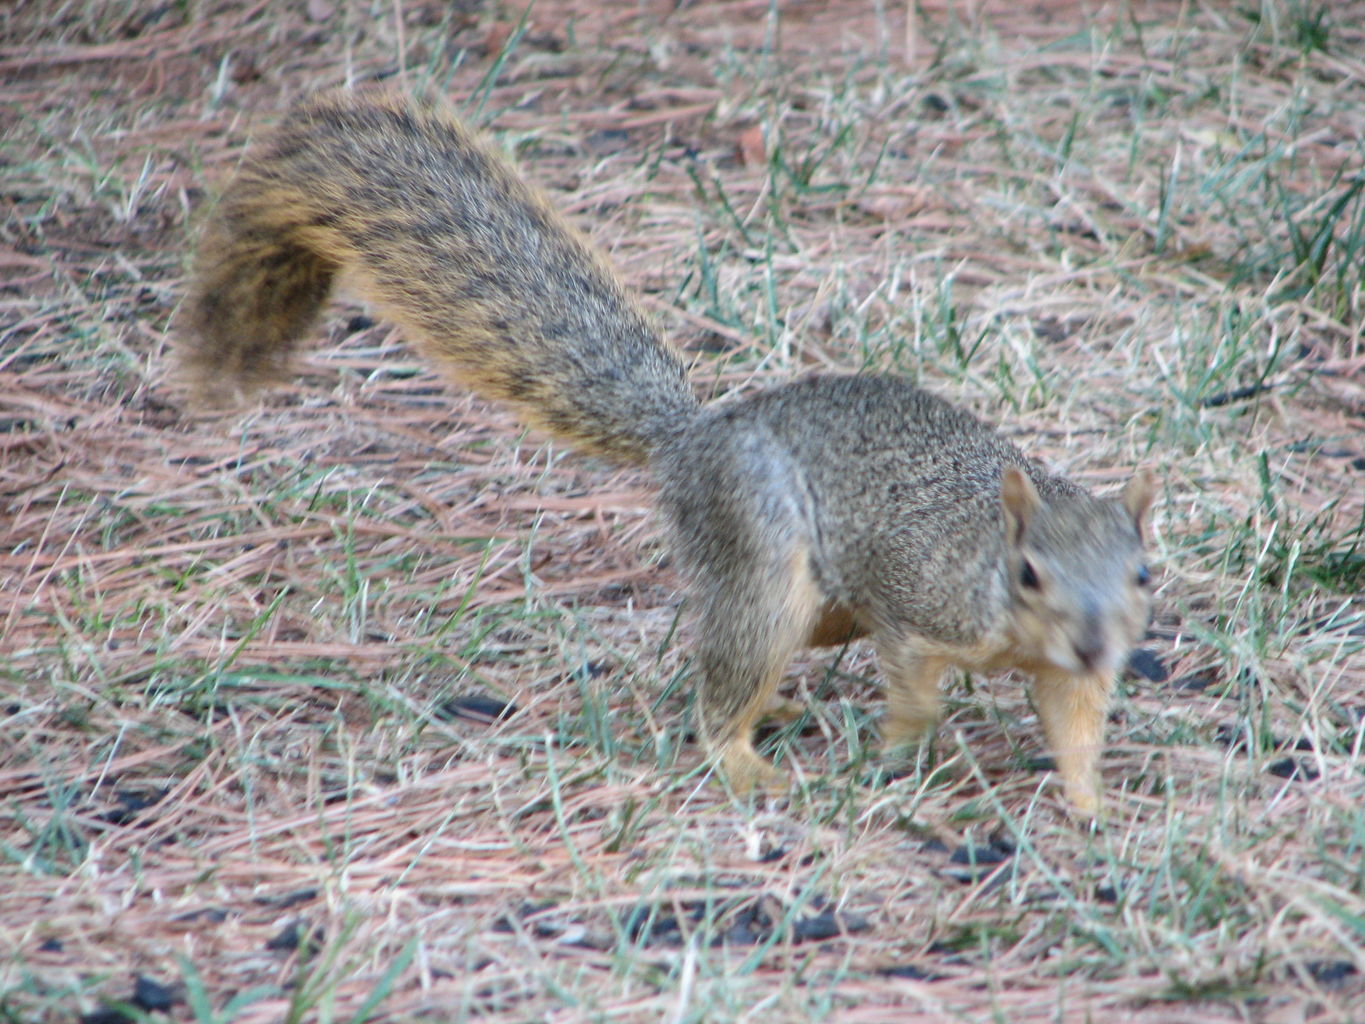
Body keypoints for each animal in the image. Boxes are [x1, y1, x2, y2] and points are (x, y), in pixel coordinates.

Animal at [181, 92, 1157, 824]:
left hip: (818, 604)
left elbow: (1074, 725)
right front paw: (900, 748)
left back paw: (779, 709)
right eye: (1028, 573)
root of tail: (691, 439)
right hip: (761, 557)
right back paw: (744, 758)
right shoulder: (919, 610)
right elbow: (914, 686)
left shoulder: (1066, 674)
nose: (1094, 639)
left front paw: (1090, 806)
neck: (997, 585)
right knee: (727, 673)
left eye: (1143, 573)